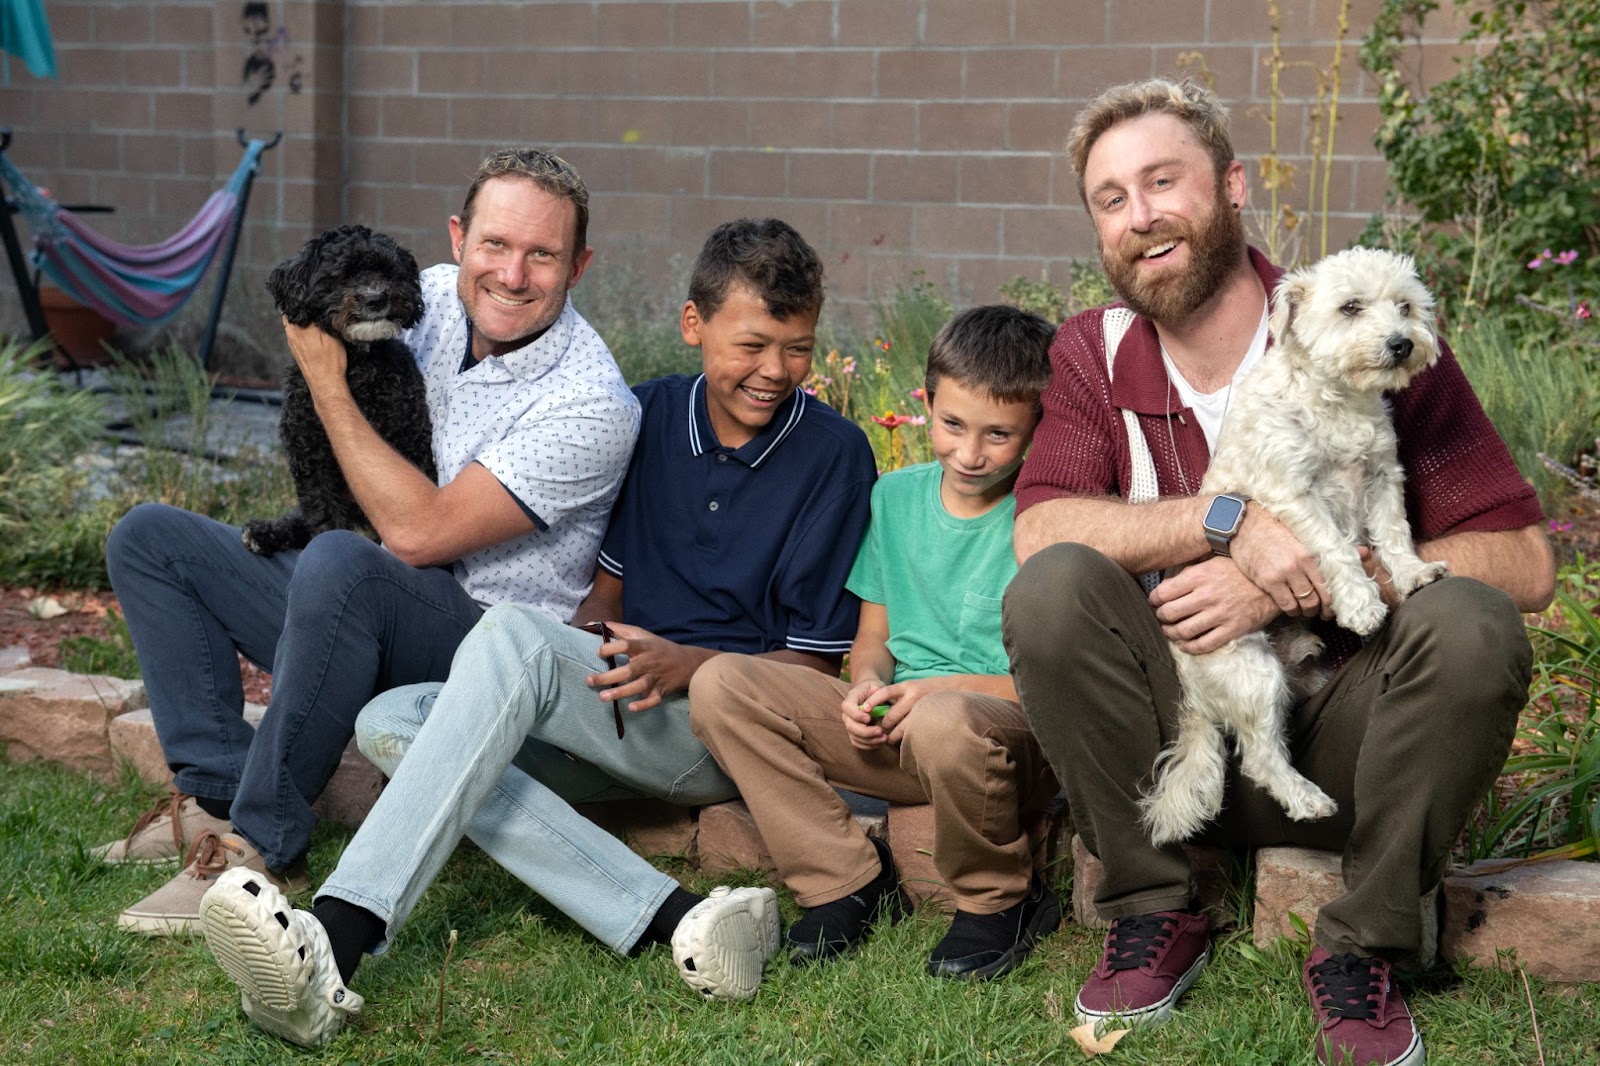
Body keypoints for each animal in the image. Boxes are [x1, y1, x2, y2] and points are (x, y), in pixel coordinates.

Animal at [240, 224, 438, 557]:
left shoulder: (412, 445)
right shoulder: (311, 455)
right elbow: (323, 518)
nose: (376, 298)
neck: (358, 371)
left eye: (389, 272)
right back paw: (264, 532)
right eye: (342, 275)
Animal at [1139, 246, 1452, 845]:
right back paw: (1306, 798)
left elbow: (1395, 533)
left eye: (1405, 306)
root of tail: (1196, 696)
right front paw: (1360, 602)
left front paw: (1412, 573)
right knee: (1260, 759)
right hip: (1252, 673)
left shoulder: (1382, 479)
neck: (1337, 400)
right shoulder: (1293, 494)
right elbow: (1334, 547)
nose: (1402, 342)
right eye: (1351, 307)